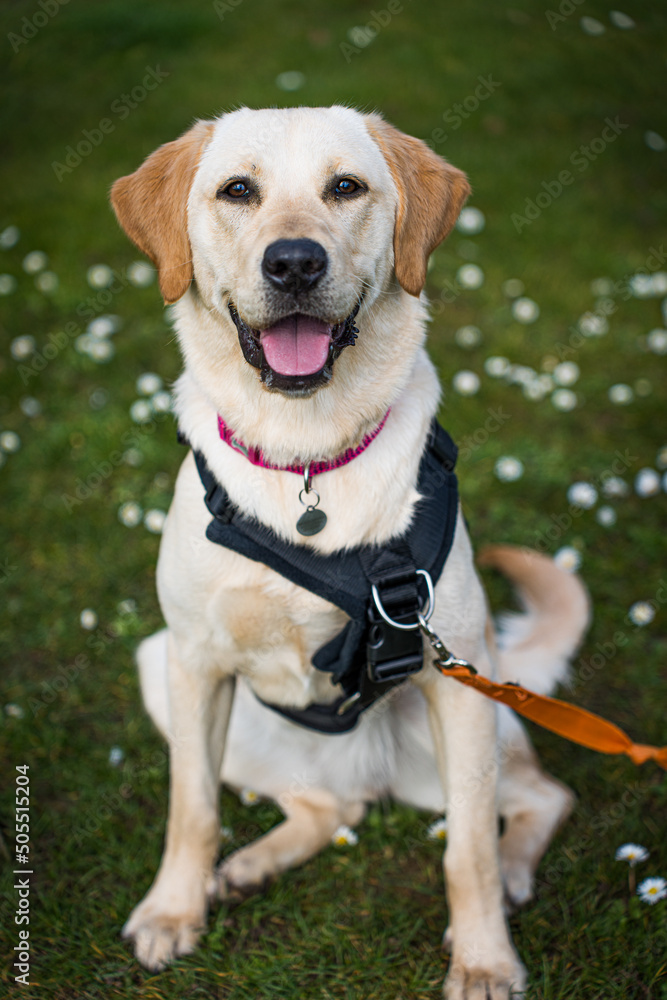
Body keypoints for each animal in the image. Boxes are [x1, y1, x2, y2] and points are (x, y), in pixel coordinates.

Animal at [111, 107, 588, 1000]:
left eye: (345, 187)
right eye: (237, 190)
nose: (295, 261)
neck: (305, 459)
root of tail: (356, 772)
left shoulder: (456, 681)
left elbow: (466, 852)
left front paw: (484, 959)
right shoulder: (194, 662)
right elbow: (191, 809)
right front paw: (172, 910)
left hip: (469, 731)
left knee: (539, 798)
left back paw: (512, 874)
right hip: (164, 670)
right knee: (328, 810)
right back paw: (251, 865)